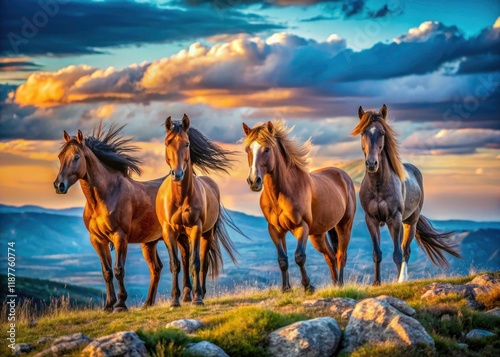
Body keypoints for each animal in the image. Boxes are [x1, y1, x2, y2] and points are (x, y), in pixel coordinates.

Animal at [52, 124, 193, 312]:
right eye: (60, 157)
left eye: (76, 157)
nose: (59, 185)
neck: (105, 196)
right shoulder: (97, 239)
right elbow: (107, 271)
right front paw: (108, 305)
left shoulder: (120, 237)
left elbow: (119, 269)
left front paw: (120, 304)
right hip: (149, 243)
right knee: (156, 268)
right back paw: (148, 303)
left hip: (179, 236)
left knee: (184, 260)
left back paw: (185, 297)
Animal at [156, 114, 242, 306]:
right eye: (167, 143)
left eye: (187, 144)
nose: (177, 174)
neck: (180, 198)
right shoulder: (169, 231)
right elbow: (175, 264)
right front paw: (175, 300)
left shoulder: (196, 228)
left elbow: (196, 263)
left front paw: (198, 299)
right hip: (182, 237)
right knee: (185, 260)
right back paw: (186, 295)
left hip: (207, 234)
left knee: (203, 262)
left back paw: (199, 293)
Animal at [241, 119, 356, 290]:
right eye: (247, 149)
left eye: (267, 149)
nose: (254, 181)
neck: (280, 194)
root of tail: (342, 175)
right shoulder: (275, 230)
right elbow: (282, 259)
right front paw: (285, 288)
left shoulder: (301, 226)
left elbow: (299, 257)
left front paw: (308, 286)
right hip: (318, 234)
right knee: (330, 256)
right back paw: (334, 284)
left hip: (344, 226)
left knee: (341, 255)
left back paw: (340, 284)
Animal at [352, 103, 460, 284]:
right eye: (362, 133)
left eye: (382, 133)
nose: (372, 164)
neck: (378, 186)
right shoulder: (371, 220)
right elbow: (376, 253)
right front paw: (376, 283)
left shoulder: (394, 218)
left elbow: (397, 254)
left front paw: (397, 281)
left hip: (410, 222)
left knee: (405, 250)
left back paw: (403, 278)